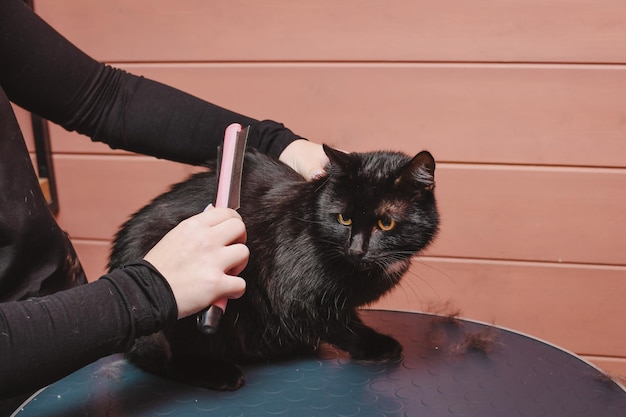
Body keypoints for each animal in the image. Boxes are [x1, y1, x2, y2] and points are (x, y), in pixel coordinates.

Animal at [108, 144, 438, 390]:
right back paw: (218, 372)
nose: (356, 249)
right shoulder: (298, 296)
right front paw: (375, 346)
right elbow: (342, 326)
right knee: (162, 357)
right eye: (344, 218)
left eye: (386, 223)